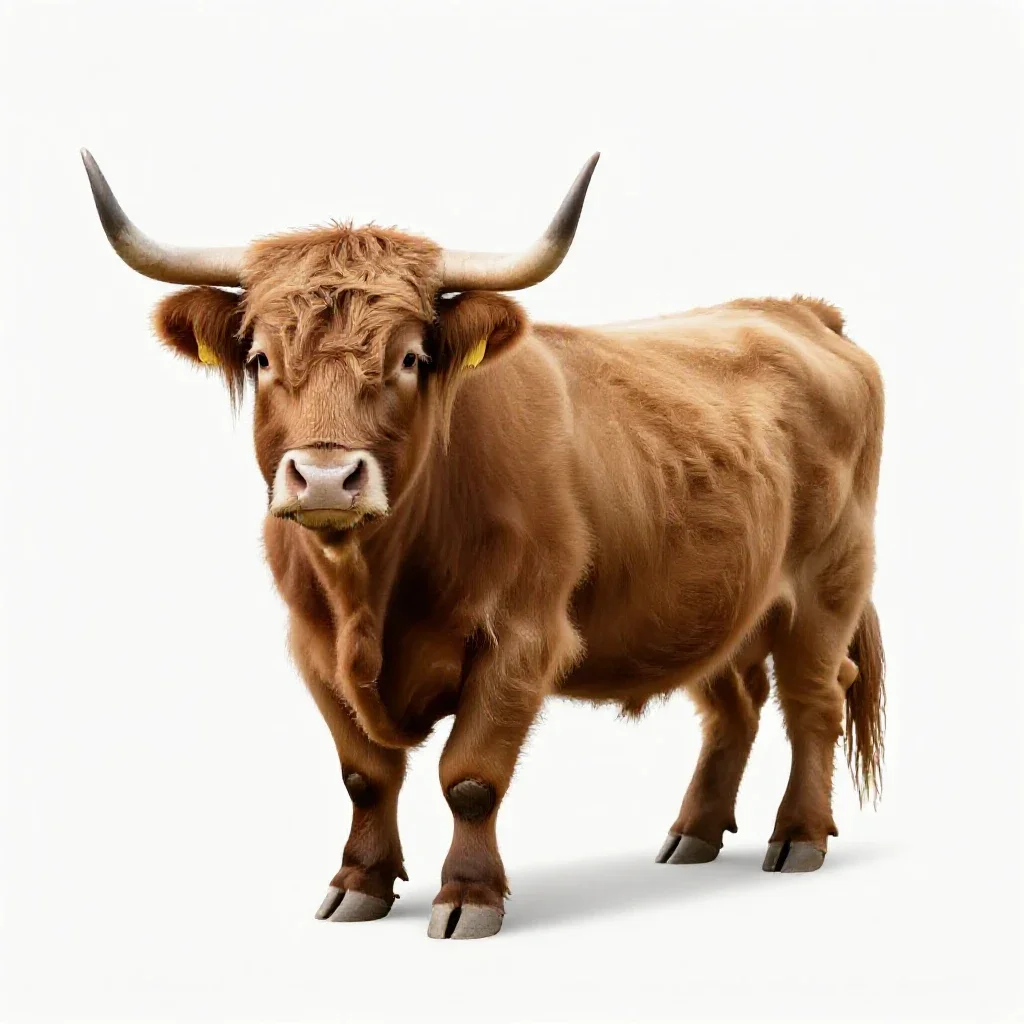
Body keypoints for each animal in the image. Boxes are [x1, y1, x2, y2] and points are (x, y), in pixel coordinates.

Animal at [81, 149, 885, 940]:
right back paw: (694, 833)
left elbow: (469, 777)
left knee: (814, 700)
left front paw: (469, 896)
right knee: (734, 707)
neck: (370, 593)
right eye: (259, 359)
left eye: (410, 358)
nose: (326, 478)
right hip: (714, 602)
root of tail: (797, 311)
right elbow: (364, 775)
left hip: (827, 585)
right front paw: (359, 883)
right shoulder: (312, 647)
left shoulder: (522, 638)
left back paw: (798, 837)